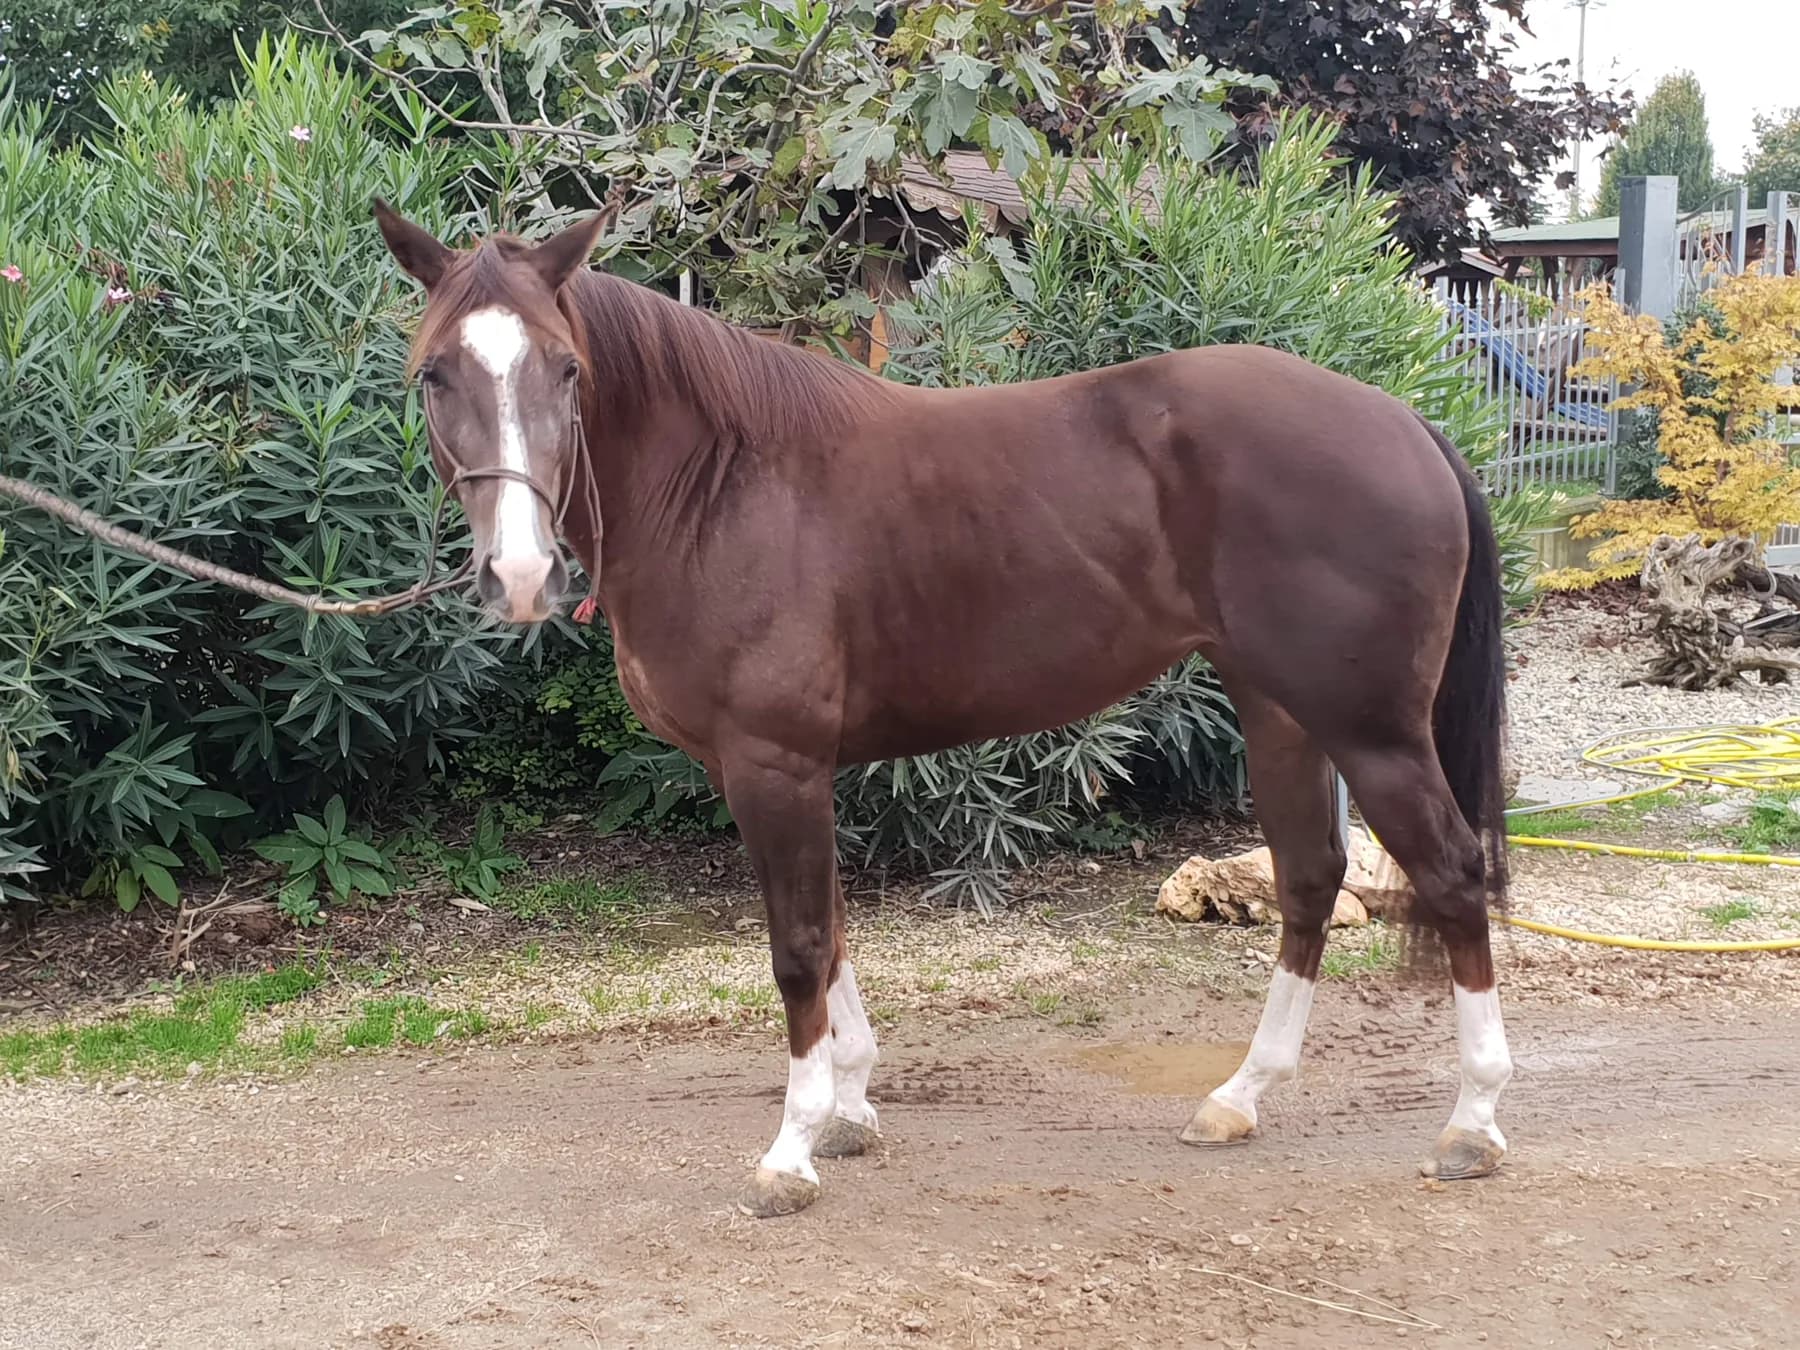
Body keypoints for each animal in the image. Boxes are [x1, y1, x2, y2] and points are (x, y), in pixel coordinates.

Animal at [372, 202, 1514, 1218]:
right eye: (435, 373)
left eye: (564, 369)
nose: (519, 576)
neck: (723, 484)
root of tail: (1405, 421)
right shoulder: (783, 769)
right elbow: (832, 930)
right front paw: (849, 1112)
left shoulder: (774, 762)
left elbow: (797, 947)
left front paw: (792, 1153)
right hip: (1280, 710)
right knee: (1310, 878)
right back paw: (1240, 1098)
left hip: (1370, 729)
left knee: (1453, 874)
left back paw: (1473, 1124)